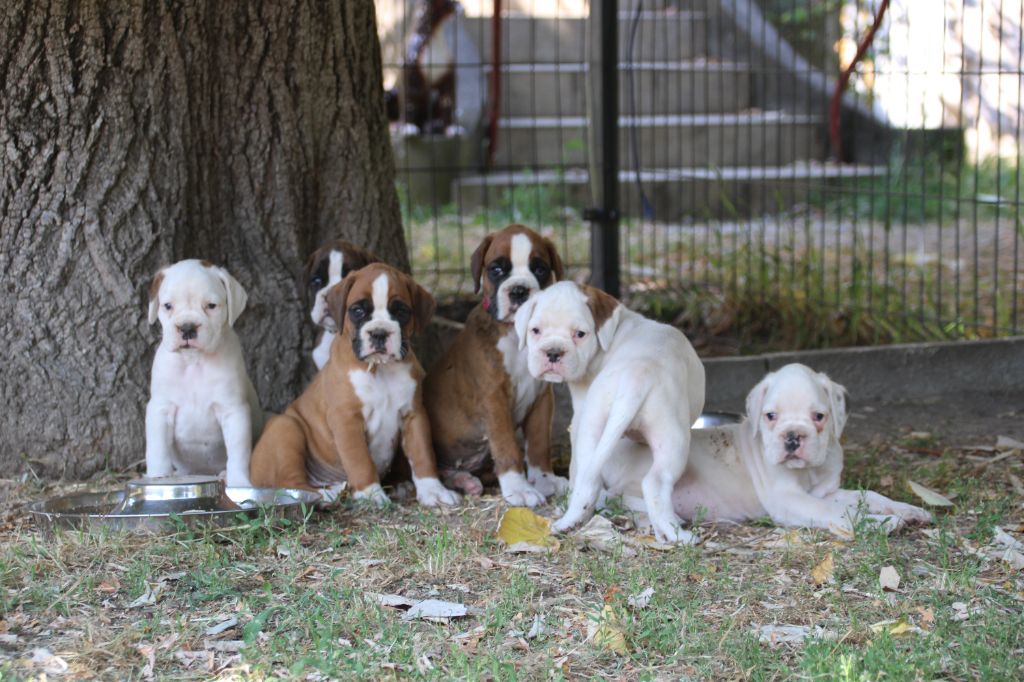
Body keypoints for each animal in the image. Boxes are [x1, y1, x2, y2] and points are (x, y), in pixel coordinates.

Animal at [247, 262, 460, 507]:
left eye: (400, 311)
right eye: (358, 311)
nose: (379, 332)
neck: (380, 369)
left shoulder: (414, 414)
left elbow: (423, 454)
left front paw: (434, 491)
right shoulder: (346, 420)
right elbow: (360, 460)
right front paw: (371, 495)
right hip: (286, 429)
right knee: (291, 484)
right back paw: (327, 495)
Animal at [421, 223, 569, 503]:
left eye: (540, 269)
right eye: (497, 270)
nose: (519, 290)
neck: (517, 334)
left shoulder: (542, 398)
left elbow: (539, 443)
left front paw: (545, 480)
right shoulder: (494, 399)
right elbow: (506, 444)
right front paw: (519, 488)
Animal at [516, 278, 708, 540]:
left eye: (580, 334)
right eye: (535, 331)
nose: (553, 352)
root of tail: (636, 376)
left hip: (599, 428)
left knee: (589, 480)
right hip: (671, 437)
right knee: (654, 483)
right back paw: (675, 533)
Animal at [667, 360, 933, 532]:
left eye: (818, 416)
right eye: (770, 416)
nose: (793, 436)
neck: (809, 471)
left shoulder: (826, 492)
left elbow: (868, 496)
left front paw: (907, 510)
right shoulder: (789, 498)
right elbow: (833, 511)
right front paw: (882, 523)